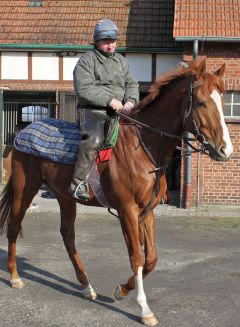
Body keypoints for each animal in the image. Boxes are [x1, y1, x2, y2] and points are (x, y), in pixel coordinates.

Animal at [0, 60, 232, 326]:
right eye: (202, 103)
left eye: (224, 102)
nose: (225, 150)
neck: (142, 148)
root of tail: (24, 131)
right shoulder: (127, 211)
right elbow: (137, 258)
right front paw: (144, 309)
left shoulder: (147, 211)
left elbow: (151, 258)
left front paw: (121, 290)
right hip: (25, 189)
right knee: (14, 227)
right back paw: (15, 276)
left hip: (65, 197)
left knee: (68, 236)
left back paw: (86, 286)